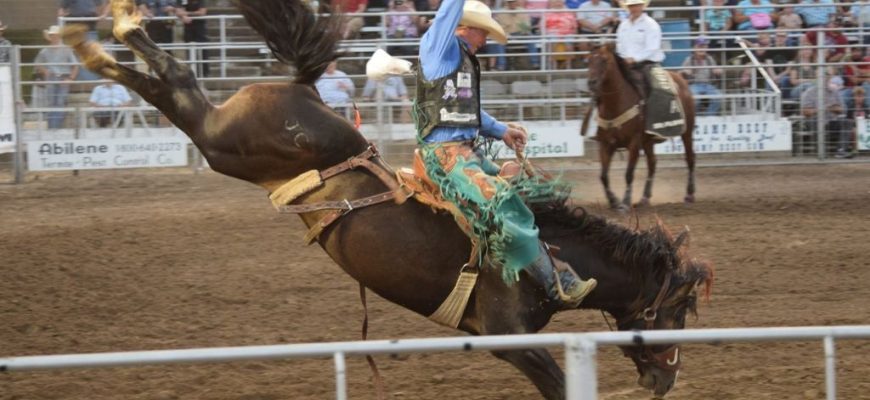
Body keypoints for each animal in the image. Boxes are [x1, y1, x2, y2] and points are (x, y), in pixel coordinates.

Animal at [584, 43, 700, 211]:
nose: (591, 83)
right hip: (648, 142)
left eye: (604, 60)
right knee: (652, 163)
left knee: (690, 158)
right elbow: (603, 176)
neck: (617, 103)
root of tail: (681, 80)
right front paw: (613, 201)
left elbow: (628, 173)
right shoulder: (605, 144)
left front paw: (625, 203)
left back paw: (689, 195)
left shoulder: (634, 143)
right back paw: (644, 198)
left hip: (687, 131)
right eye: (588, 60)